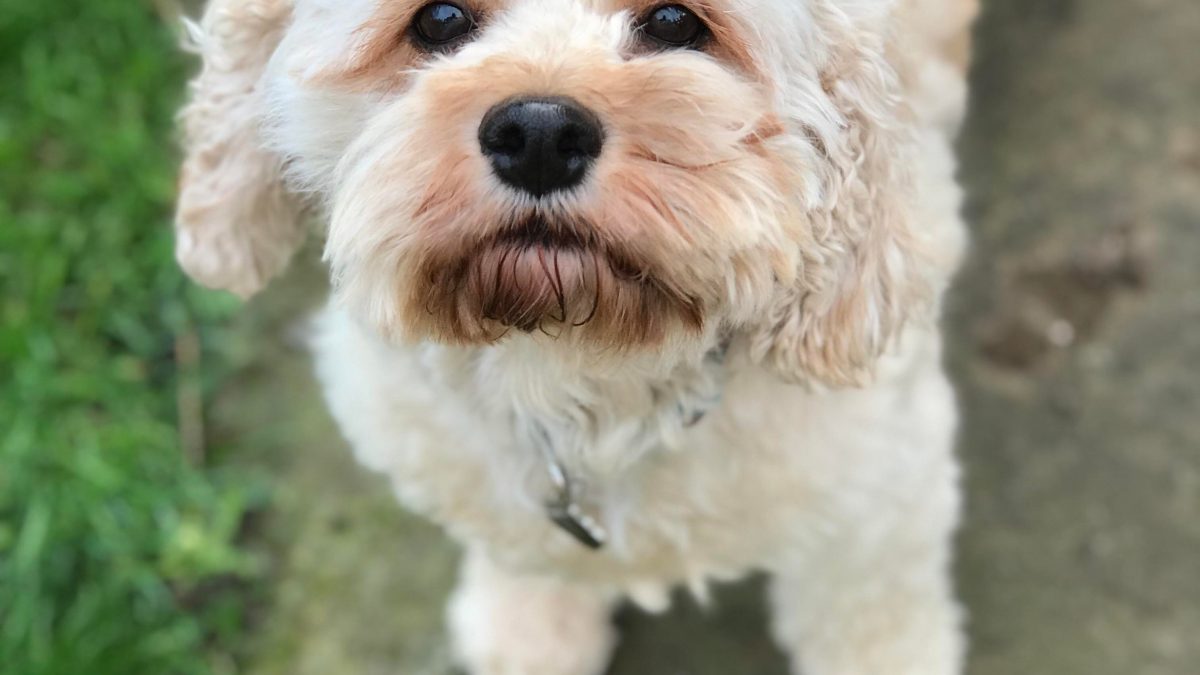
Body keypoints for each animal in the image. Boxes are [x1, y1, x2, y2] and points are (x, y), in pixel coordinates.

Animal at [175, 2, 974, 667]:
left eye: (675, 22)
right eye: (439, 19)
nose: (539, 133)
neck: (575, 360)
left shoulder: (885, 491)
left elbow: (870, 611)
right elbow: (524, 547)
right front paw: (527, 625)